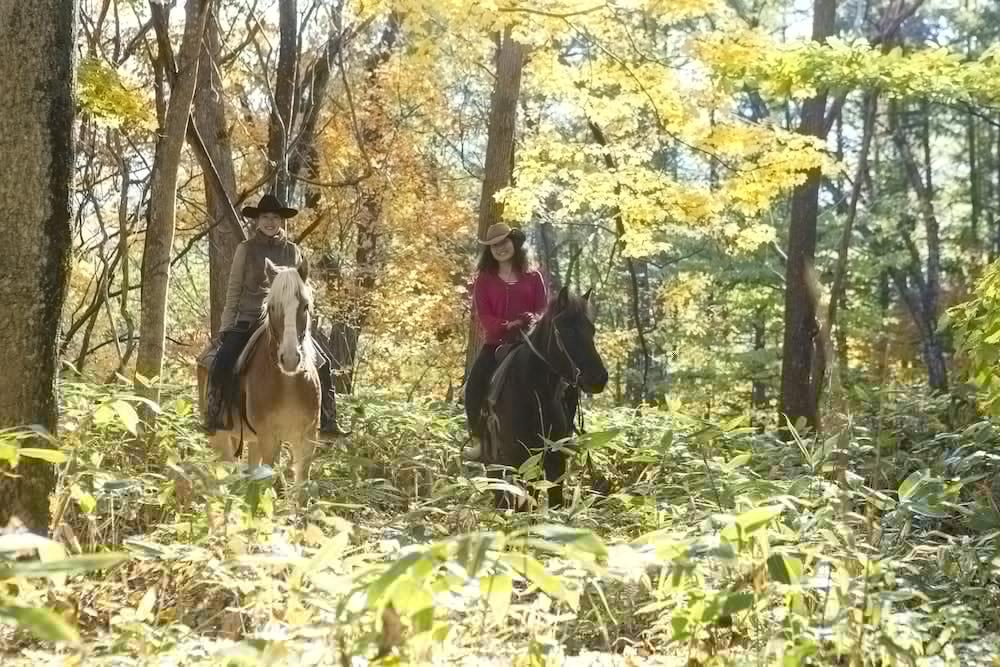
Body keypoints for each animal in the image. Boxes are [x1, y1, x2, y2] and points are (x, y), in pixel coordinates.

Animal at [195, 260, 320, 486]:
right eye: (271, 308)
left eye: (305, 306)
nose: (290, 359)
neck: (288, 384)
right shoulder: (270, 439)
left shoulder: (307, 441)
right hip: (220, 439)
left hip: (252, 441)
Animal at [478, 288, 608, 512]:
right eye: (568, 331)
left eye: (591, 330)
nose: (599, 378)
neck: (534, 392)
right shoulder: (519, 459)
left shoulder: (554, 460)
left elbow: (553, 501)